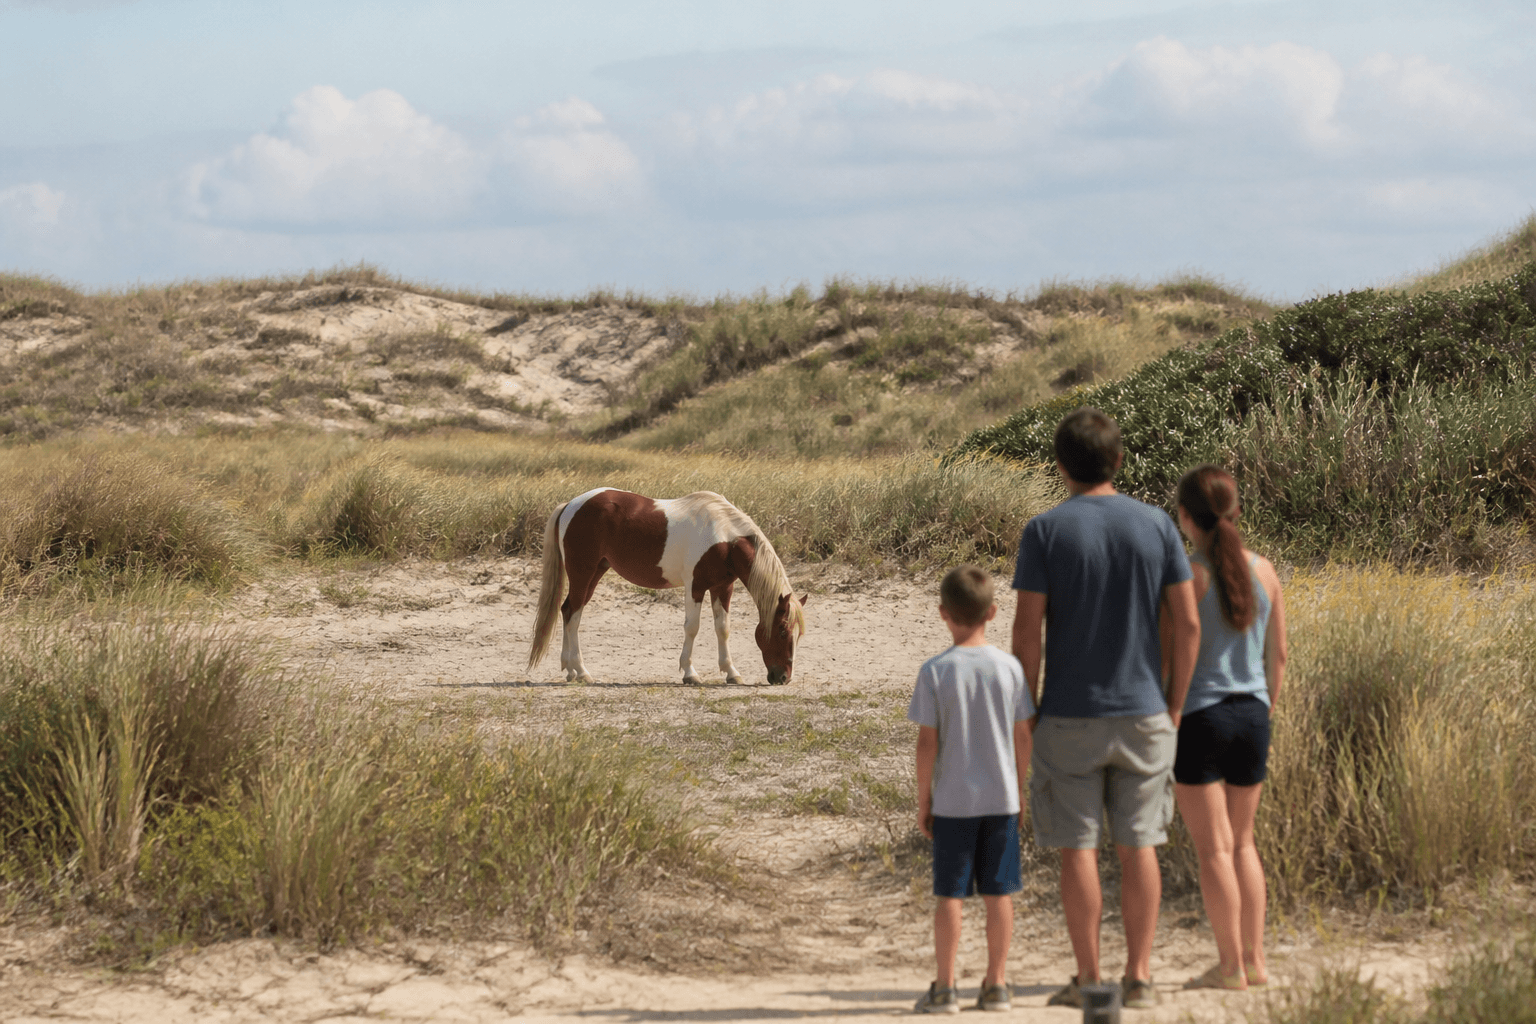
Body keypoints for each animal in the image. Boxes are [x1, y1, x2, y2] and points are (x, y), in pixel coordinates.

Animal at [527, 487, 808, 685]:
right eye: (782, 630)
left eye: (797, 634)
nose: (783, 678)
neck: (724, 537)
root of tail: (570, 505)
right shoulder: (695, 586)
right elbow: (692, 628)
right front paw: (690, 673)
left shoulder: (723, 587)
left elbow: (723, 629)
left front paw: (731, 673)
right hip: (583, 573)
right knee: (573, 616)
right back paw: (582, 671)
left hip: (595, 572)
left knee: (567, 611)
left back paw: (570, 671)